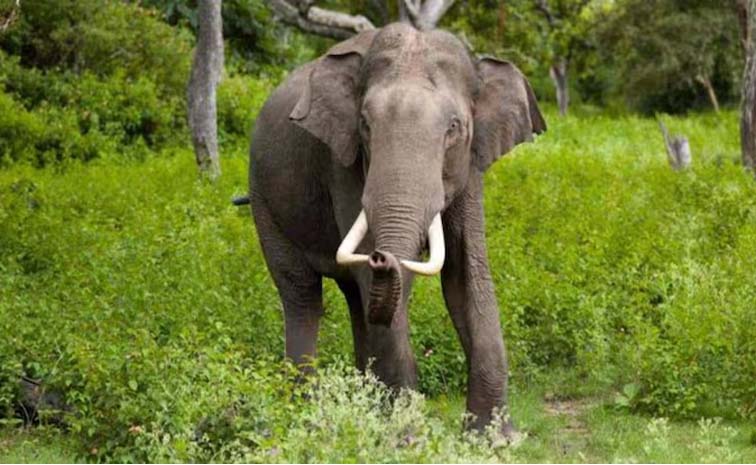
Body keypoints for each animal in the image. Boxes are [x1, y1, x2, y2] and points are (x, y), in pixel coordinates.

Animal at [245, 22, 545, 435]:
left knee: (355, 300)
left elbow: (465, 275)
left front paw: (494, 439)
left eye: (454, 128)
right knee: (303, 295)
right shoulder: (343, 163)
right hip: (264, 199)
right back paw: (305, 415)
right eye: (365, 125)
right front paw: (405, 437)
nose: (381, 257)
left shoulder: (471, 167)